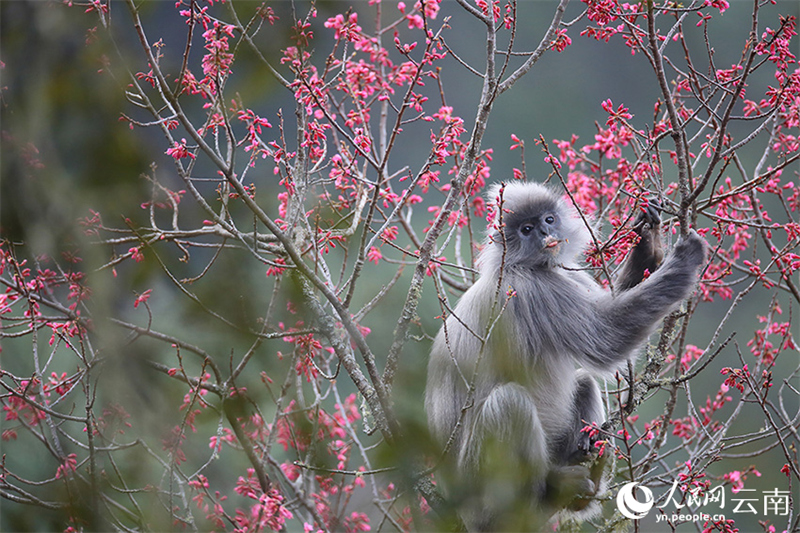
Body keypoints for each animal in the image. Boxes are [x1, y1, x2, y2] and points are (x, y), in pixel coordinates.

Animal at [425, 181, 706, 531]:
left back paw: (584, 481)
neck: (517, 264)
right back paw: (540, 496)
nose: (547, 233)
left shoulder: (561, 274)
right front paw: (686, 257)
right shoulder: (535, 288)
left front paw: (647, 240)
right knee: (510, 401)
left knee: (583, 381)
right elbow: (608, 337)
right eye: (527, 229)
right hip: (480, 485)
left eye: (548, 219)